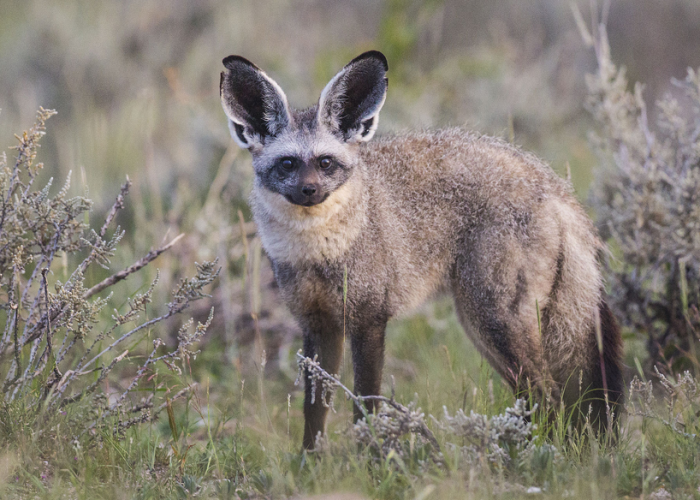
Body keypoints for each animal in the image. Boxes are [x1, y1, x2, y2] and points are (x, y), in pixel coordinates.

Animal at [219, 50, 623, 449]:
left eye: (325, 163)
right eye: (287, 164)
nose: (309, 191)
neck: (318, 253)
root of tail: (552, 183)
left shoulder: (369, 320)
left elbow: (366, 407)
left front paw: (370, 459)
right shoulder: (318, 326)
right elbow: (314, 414)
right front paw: (310, 463)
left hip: (493, 321)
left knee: (548, 396)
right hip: (485, 329)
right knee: (538, 399)